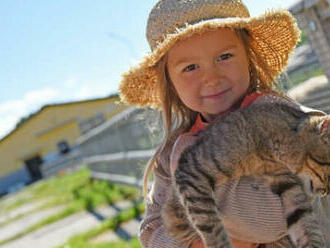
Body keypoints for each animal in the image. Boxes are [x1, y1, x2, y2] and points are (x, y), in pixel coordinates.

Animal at [162, 101, 330, 248]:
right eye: (329, 175)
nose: (324, 193)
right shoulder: (192, 168)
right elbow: (210, 224)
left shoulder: (288, 186)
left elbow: (305, 225)